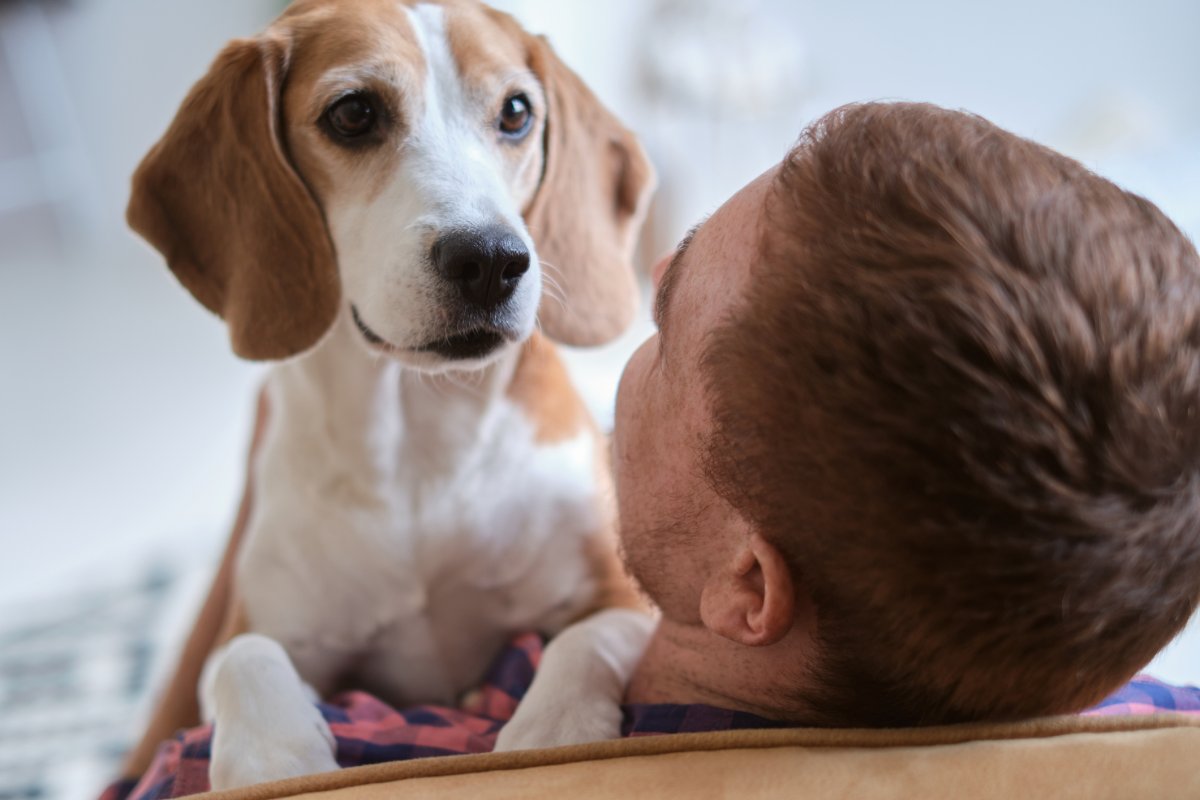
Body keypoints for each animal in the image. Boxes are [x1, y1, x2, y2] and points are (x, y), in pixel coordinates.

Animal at [121, 0, 657, 786]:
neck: (421, 439)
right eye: (353, 113)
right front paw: (274, 763)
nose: (491, 260)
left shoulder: (624, 599)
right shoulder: (258, 631)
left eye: (517, 112)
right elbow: (247, 659)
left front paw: (553, 735)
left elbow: (582, 644)